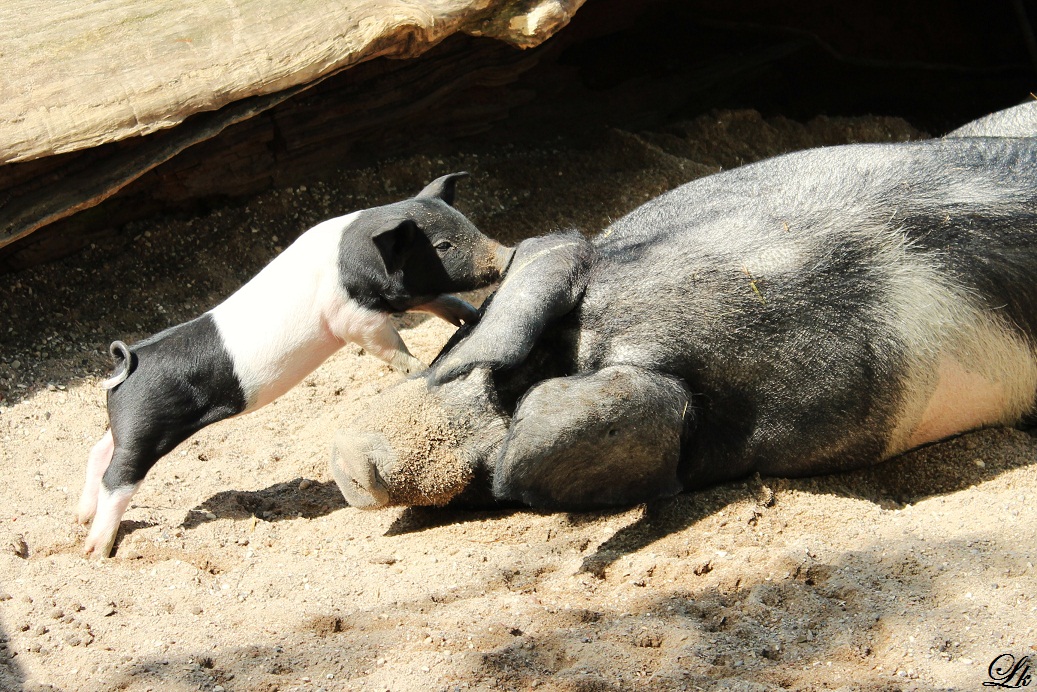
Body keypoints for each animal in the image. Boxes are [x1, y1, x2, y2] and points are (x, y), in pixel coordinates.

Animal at [78, 173, 512, 556]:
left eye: (469, 224)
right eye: (443, 245)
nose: (508, 254)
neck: (355, 260)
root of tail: (127, 363)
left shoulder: (399, 297)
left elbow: (438, 299)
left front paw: (470, 317)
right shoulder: (351, 318)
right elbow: (388, 345)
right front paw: (420, 368)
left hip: (130, 424)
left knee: (101, 450)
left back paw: (81, 517)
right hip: (148, 427)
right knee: (118, 476)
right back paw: (96, 550)